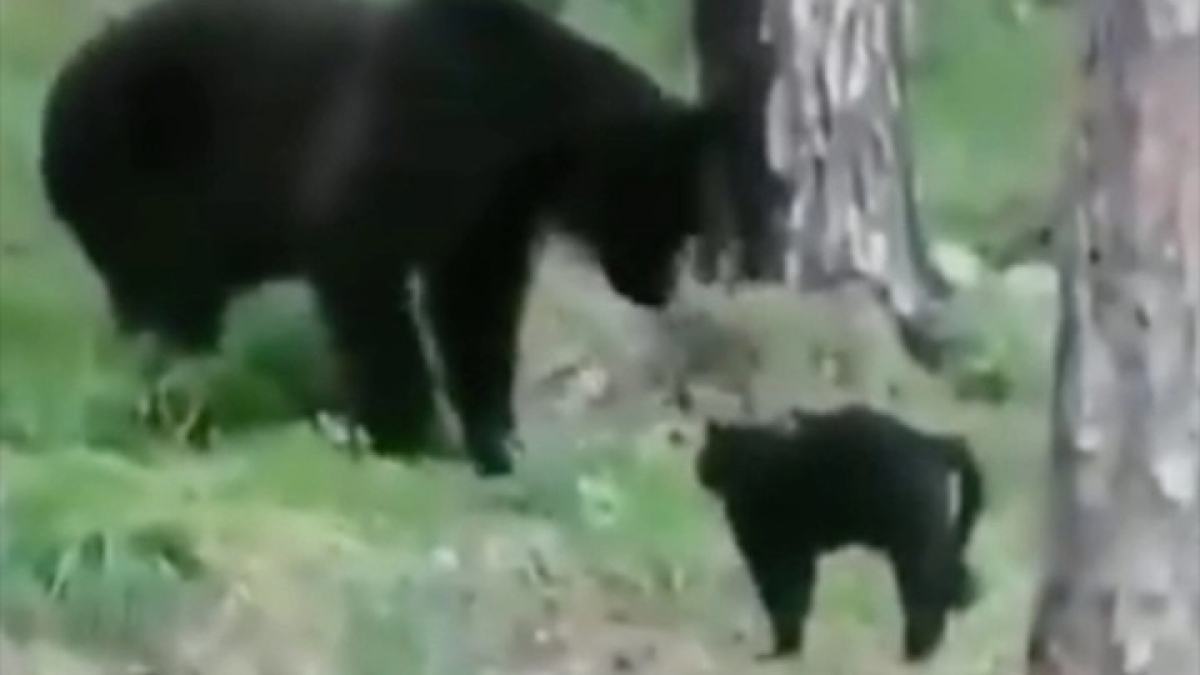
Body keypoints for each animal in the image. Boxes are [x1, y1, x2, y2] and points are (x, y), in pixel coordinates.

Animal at [42, 0, 724, 475]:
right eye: (678, 219)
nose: (661, 290)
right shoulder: (413, 137)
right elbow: (362, 267)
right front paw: (404, 431)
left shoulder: (491, 217)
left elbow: (476, 309)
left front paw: (496, 441)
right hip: (149, 187)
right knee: (168, 293)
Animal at [696, 401, 984, 658]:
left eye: (705, 454)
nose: (700, 472)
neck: (747, 456)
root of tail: (931, 442)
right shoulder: (798, 554)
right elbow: (799, 595)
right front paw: (791, 647)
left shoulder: (773, 553)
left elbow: (784, 598)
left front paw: (782, 649)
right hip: (930, 540)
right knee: (958, 582)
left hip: (915, 544)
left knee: (932, 592)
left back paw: (916, 651)